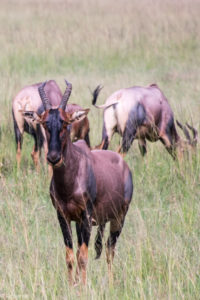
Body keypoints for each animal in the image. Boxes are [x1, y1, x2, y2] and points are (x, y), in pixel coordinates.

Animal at [23, 80, 133, 286]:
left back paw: (111, 283)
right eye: (44, 122)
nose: (53, 157)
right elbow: (70, 255)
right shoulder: (63, 216)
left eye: (65, 122)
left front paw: (82, 287)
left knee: (110, 250)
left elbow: (83, 256)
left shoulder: (86, 216)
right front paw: (71, 285)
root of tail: (123, 164)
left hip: (119, 217)